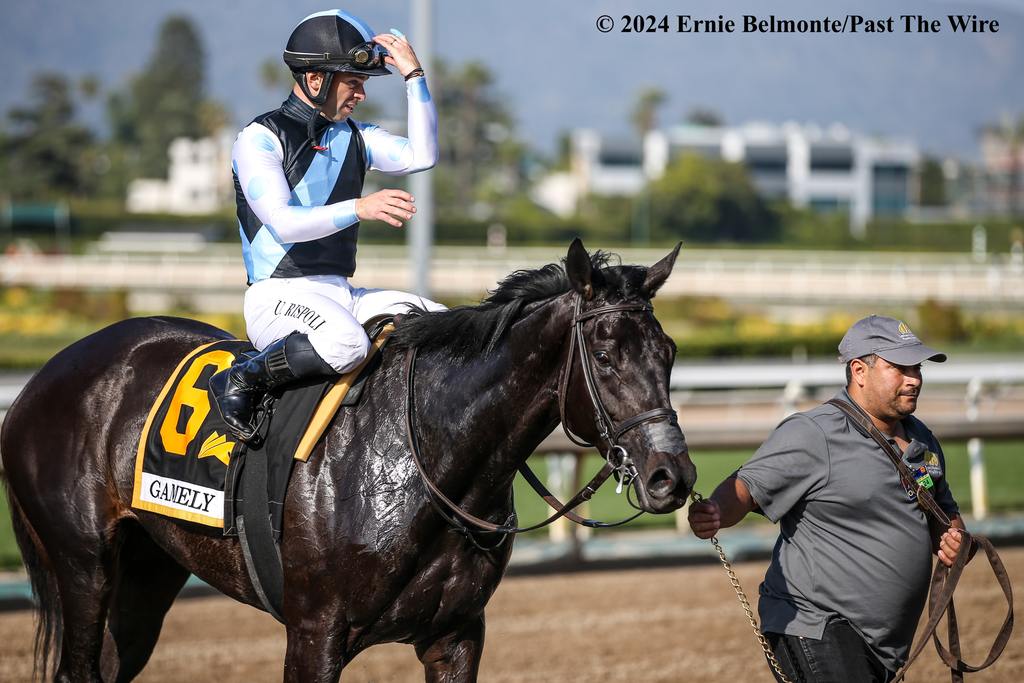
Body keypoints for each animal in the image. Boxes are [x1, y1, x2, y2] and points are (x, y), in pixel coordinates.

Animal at [2, 241, 696, 683]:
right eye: (604, 356)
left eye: (668, 352)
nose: (674, 477)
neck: (429, 458)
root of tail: (45, 376)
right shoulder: (314, 636)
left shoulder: (456, 638)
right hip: (84, 563)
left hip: (147, 573)